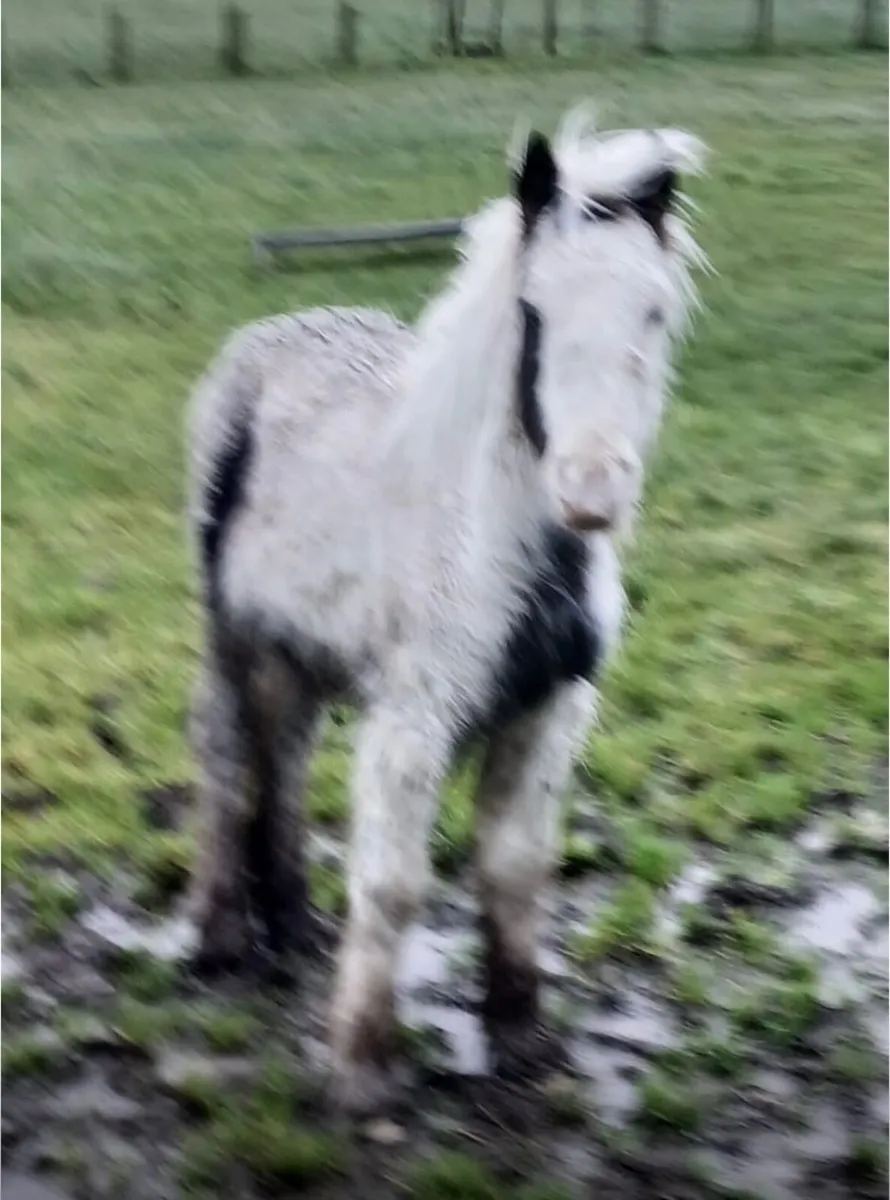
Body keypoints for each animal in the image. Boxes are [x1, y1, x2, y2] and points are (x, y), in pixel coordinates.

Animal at [183, 110, 708, 1113]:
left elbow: (515, 870)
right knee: (228, 765)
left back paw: (294, 926)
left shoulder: (548, 714)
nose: (591, 489)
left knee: (285, 763)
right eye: (533, 312)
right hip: (229, 635)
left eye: (654, 312)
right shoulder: (414, 717)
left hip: (302, 651)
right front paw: (362, 1069)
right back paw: (224, 940)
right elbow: (392, 885)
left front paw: (521, 1037)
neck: (502, 554)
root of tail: (267, 336)